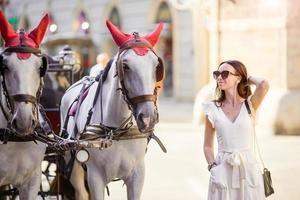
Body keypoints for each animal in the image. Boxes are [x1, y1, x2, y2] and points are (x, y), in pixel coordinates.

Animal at [59, 20, 165, 200]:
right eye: (125, 66)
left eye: (156, 66)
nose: (148, 117)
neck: (116, 131)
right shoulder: (95, 177)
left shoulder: (137, 174)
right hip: (72, 163)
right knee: (80, 192)